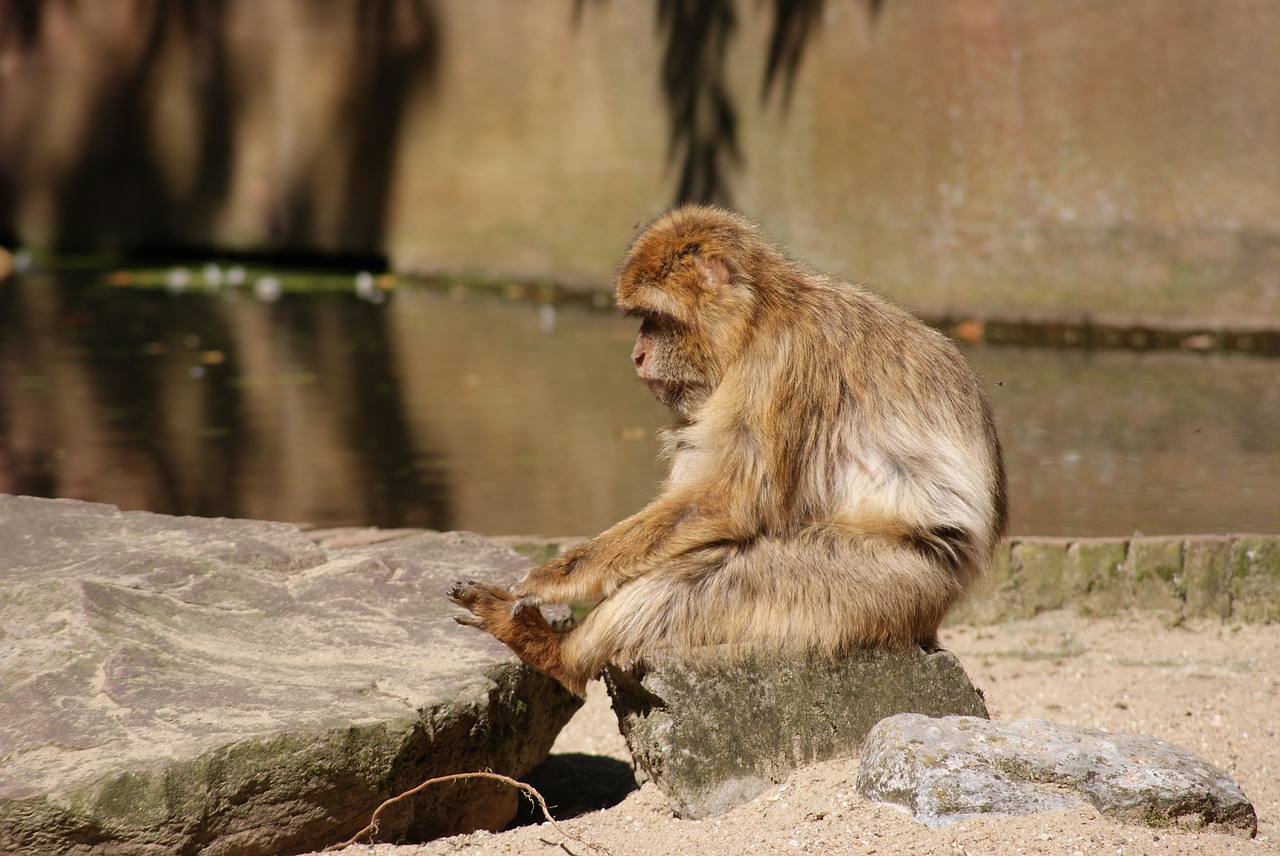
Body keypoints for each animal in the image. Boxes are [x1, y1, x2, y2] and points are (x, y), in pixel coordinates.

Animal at [453, 204, 1008, 696]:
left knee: (709, 573)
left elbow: (733, 499)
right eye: (642, 320)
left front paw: (558, 577)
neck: (759, 318)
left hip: (886, 584)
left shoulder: (781, 365)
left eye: (656, 319)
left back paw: (560, 656)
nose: (637, 354)